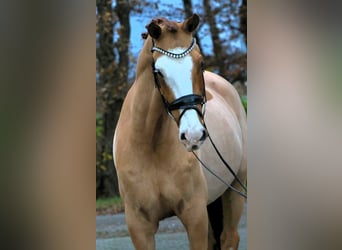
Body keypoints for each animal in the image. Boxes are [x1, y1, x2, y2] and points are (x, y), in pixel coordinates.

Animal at [113, 14, 247, 250]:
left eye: (200, 63)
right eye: (158, 72)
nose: (193, 134)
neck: (150, 146)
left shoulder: (195, 216)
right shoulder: (139, 226)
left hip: (234, 189)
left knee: (229, 238)